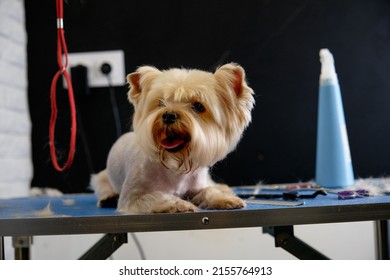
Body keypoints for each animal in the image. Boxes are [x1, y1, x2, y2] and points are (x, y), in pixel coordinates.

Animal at [91, 62, 256, 213]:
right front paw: (179, 204)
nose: (168, 115)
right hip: (102, 178)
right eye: (160, 103)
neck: (175, 164)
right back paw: (108, 197)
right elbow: (156, 196)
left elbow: (208, 191)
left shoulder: (197, 185)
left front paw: (224, 198)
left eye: (198, 106)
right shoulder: (132, 198)